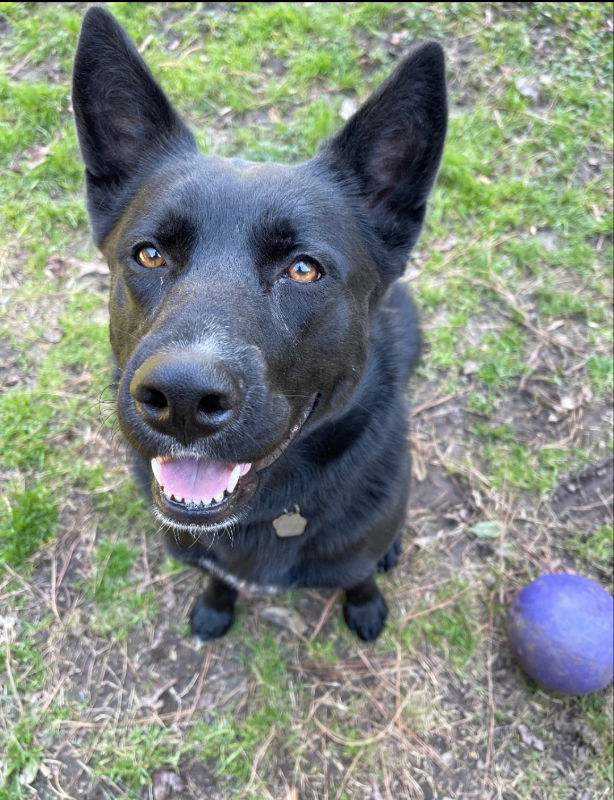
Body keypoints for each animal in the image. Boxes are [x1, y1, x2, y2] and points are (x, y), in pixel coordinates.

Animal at [73, 6, 448, 644]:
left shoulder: (354, 549)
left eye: (303, 269)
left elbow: (358, 576)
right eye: (149, 254)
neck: (272, 513)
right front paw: (214, 607)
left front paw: (366, 606)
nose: (181, 398)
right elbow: (217, 577)